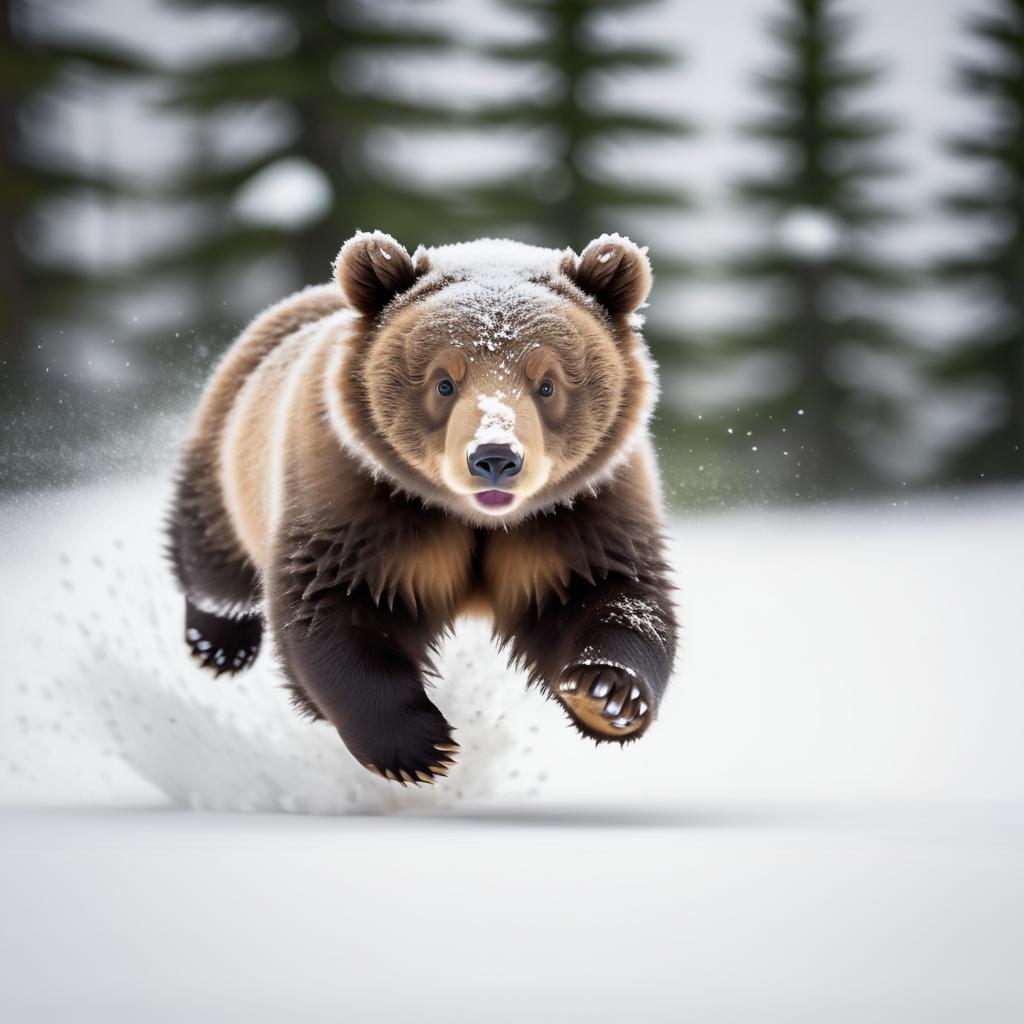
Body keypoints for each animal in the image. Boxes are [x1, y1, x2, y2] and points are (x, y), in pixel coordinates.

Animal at [167, 230, 679, 782]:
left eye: (547, 383)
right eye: (444, 382)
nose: (495, 457)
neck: (478, 520)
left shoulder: (579, 509)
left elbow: (607, 591)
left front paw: (607, 693)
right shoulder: (357, 498)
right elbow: (336, 603)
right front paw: (418, 747)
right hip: (230, 446)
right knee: (214, 549)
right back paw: (219, 642)